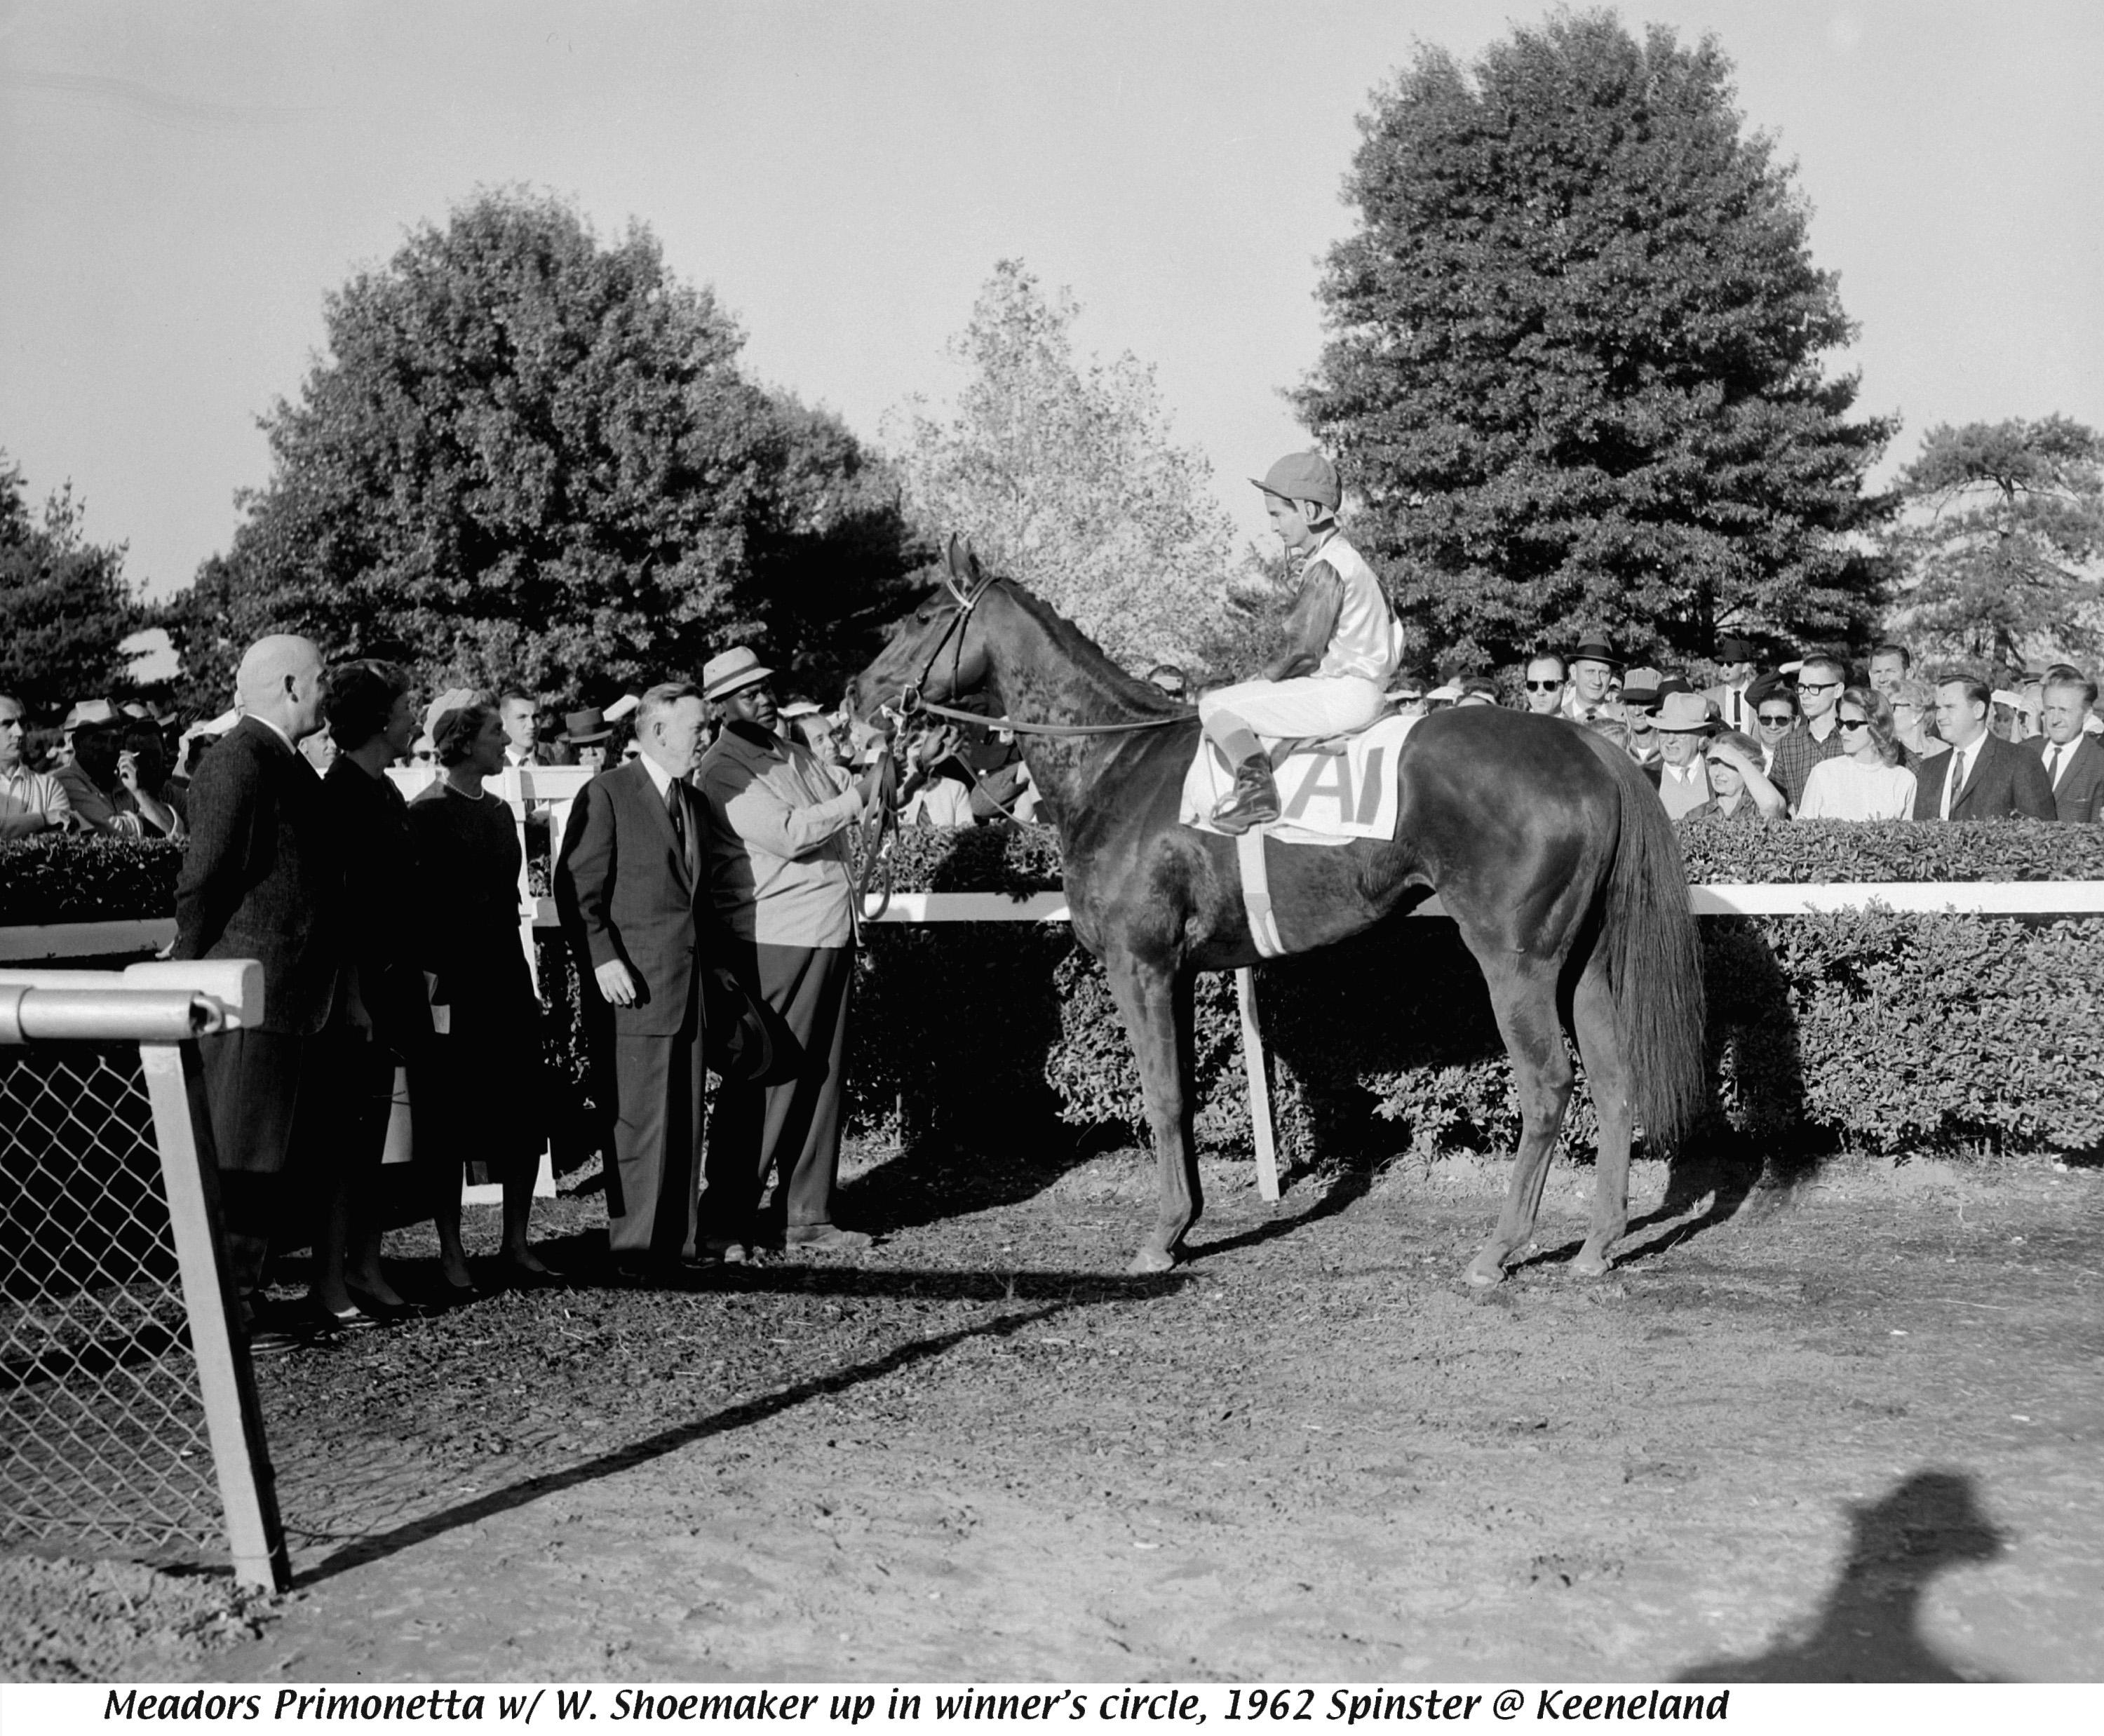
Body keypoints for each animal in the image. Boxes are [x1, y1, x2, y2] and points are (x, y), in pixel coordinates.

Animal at [854, 543, 1708, 1288]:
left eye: (924, 615)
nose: (859, 695)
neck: (1115, 766)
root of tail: (1590, 747)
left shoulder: (1140, 963)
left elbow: (1162, 1097)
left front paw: (1161, 1237)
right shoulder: (1180, 972)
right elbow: (1185, 1094)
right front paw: (1186, 1223)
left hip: (1516, 959)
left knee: (1548, 1087)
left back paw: (1497, 1251)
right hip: (1583, 962)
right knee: (1615, 1081)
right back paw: (1596, 1244)